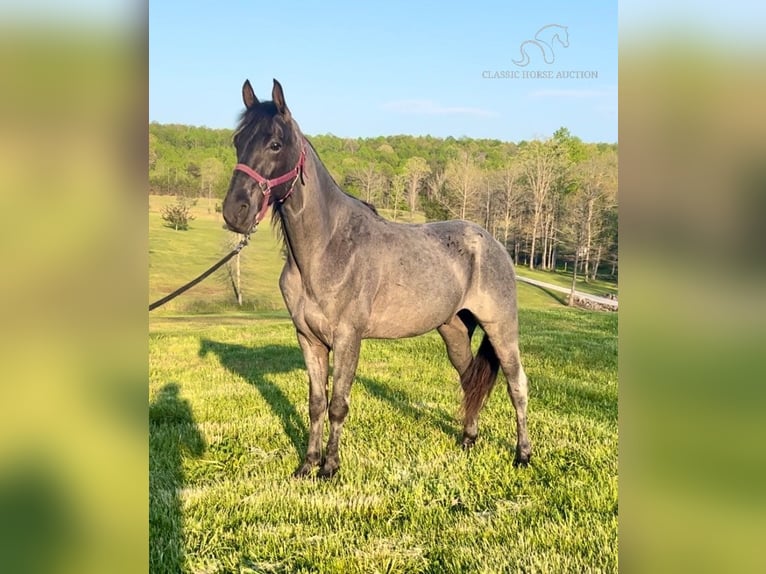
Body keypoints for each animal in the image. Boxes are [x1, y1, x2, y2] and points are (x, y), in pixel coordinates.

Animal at [225, 79, 532, 480]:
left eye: (275, 144)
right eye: (237, 141)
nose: (235, 212)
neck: (326, 249)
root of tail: (492, 243)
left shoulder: (348, 338)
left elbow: (338, 404)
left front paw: (330, 468)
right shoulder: (308, 339)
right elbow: (316, 403)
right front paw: (307, 465)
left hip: (501, 328)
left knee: (516, 384)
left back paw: (523, 454)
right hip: (453, 331)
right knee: (470, 381)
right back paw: (468, 440)